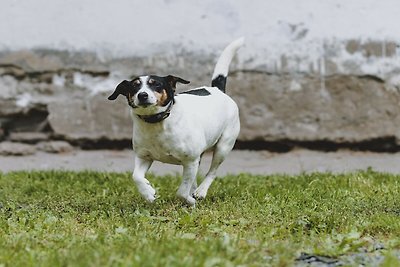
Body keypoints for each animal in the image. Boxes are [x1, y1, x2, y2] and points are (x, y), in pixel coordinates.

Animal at [107, 37, 244, 206]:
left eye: (156, 84)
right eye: (134, 87)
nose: (142, 95)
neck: (157, 122)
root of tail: (218, 90)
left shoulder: (190, 161)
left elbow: (181, 191)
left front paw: (189, 201)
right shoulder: (143, 157)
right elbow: (136, 176)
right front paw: (148, 193)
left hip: (224, 146)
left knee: (212, 171)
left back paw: (200, 191)